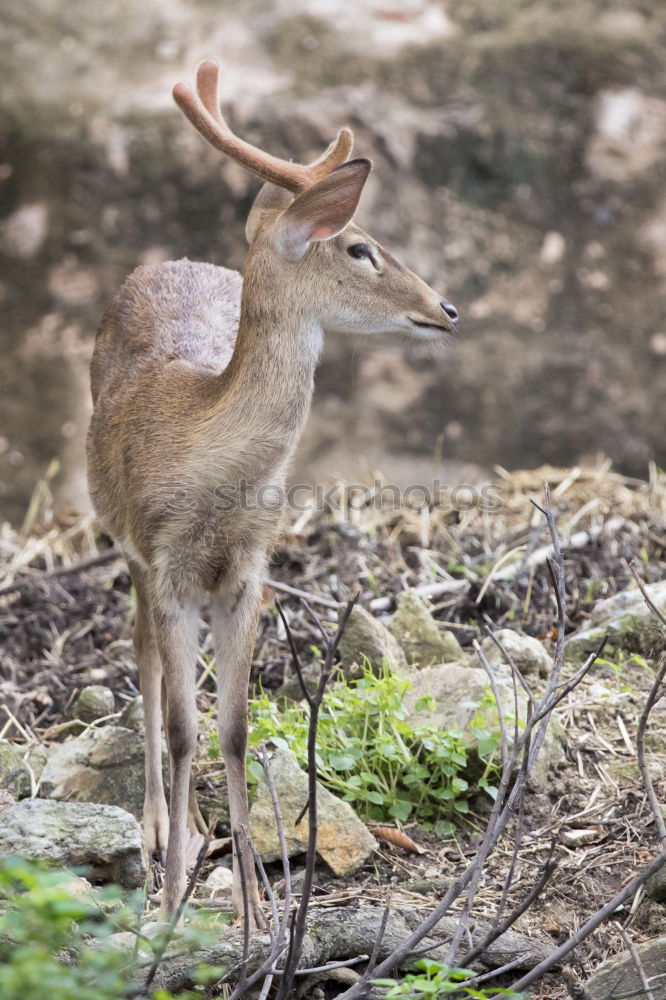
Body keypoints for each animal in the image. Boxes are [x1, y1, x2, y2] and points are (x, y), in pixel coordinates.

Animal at [87, 60, 456, 928]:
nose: (447, 308)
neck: (208, 467)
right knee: (143, 661)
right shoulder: (166, 563)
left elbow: (234, 727)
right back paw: (159, 830)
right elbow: (183, 727)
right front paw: (172, 900)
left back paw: (193, 831)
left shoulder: (249, 570)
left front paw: (260, 907)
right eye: (360, 246)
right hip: (124, 545)